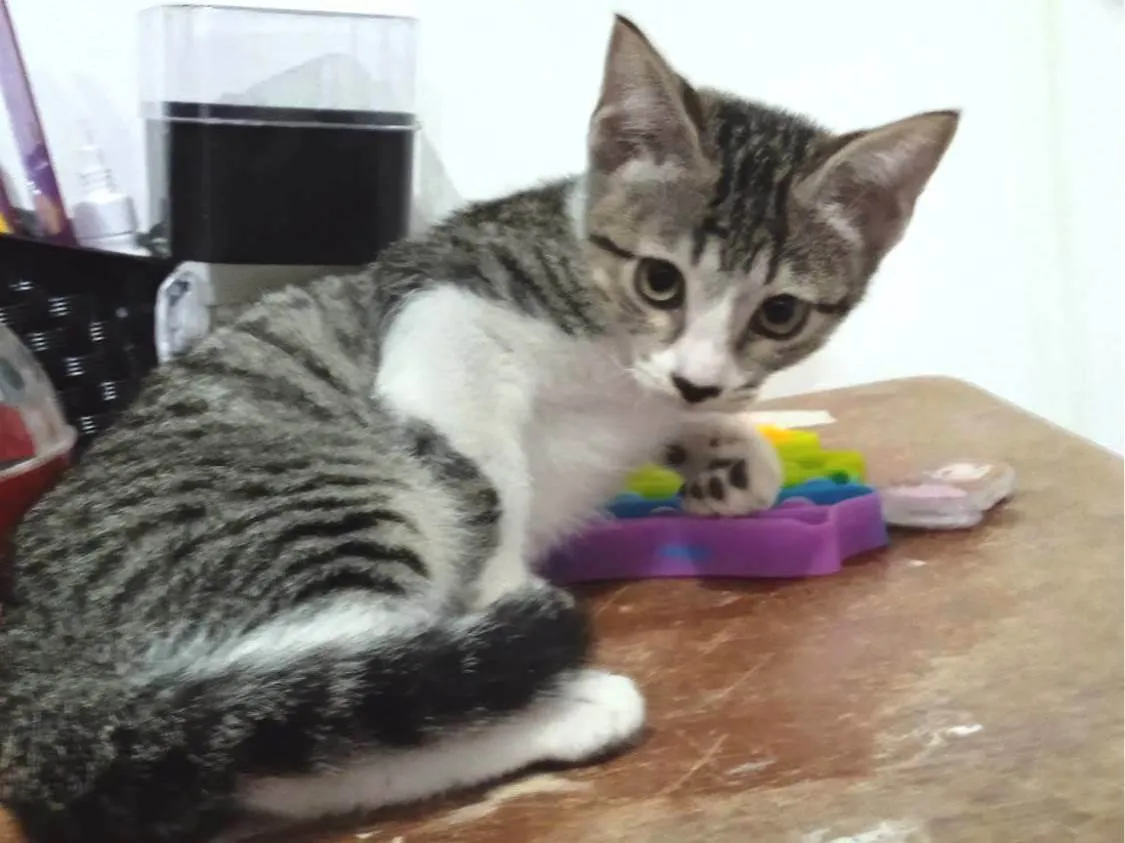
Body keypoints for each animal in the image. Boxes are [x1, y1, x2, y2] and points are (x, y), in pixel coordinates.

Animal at [0, 14, 958, 843]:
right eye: (659, 280)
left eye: (780, 312)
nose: (697, 378)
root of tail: (37, 684)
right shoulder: (441, 304)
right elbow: (494, 475)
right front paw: (505, 581)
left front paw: (726, 451)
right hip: (322, 495)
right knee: (306, 749)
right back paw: (561, 705)